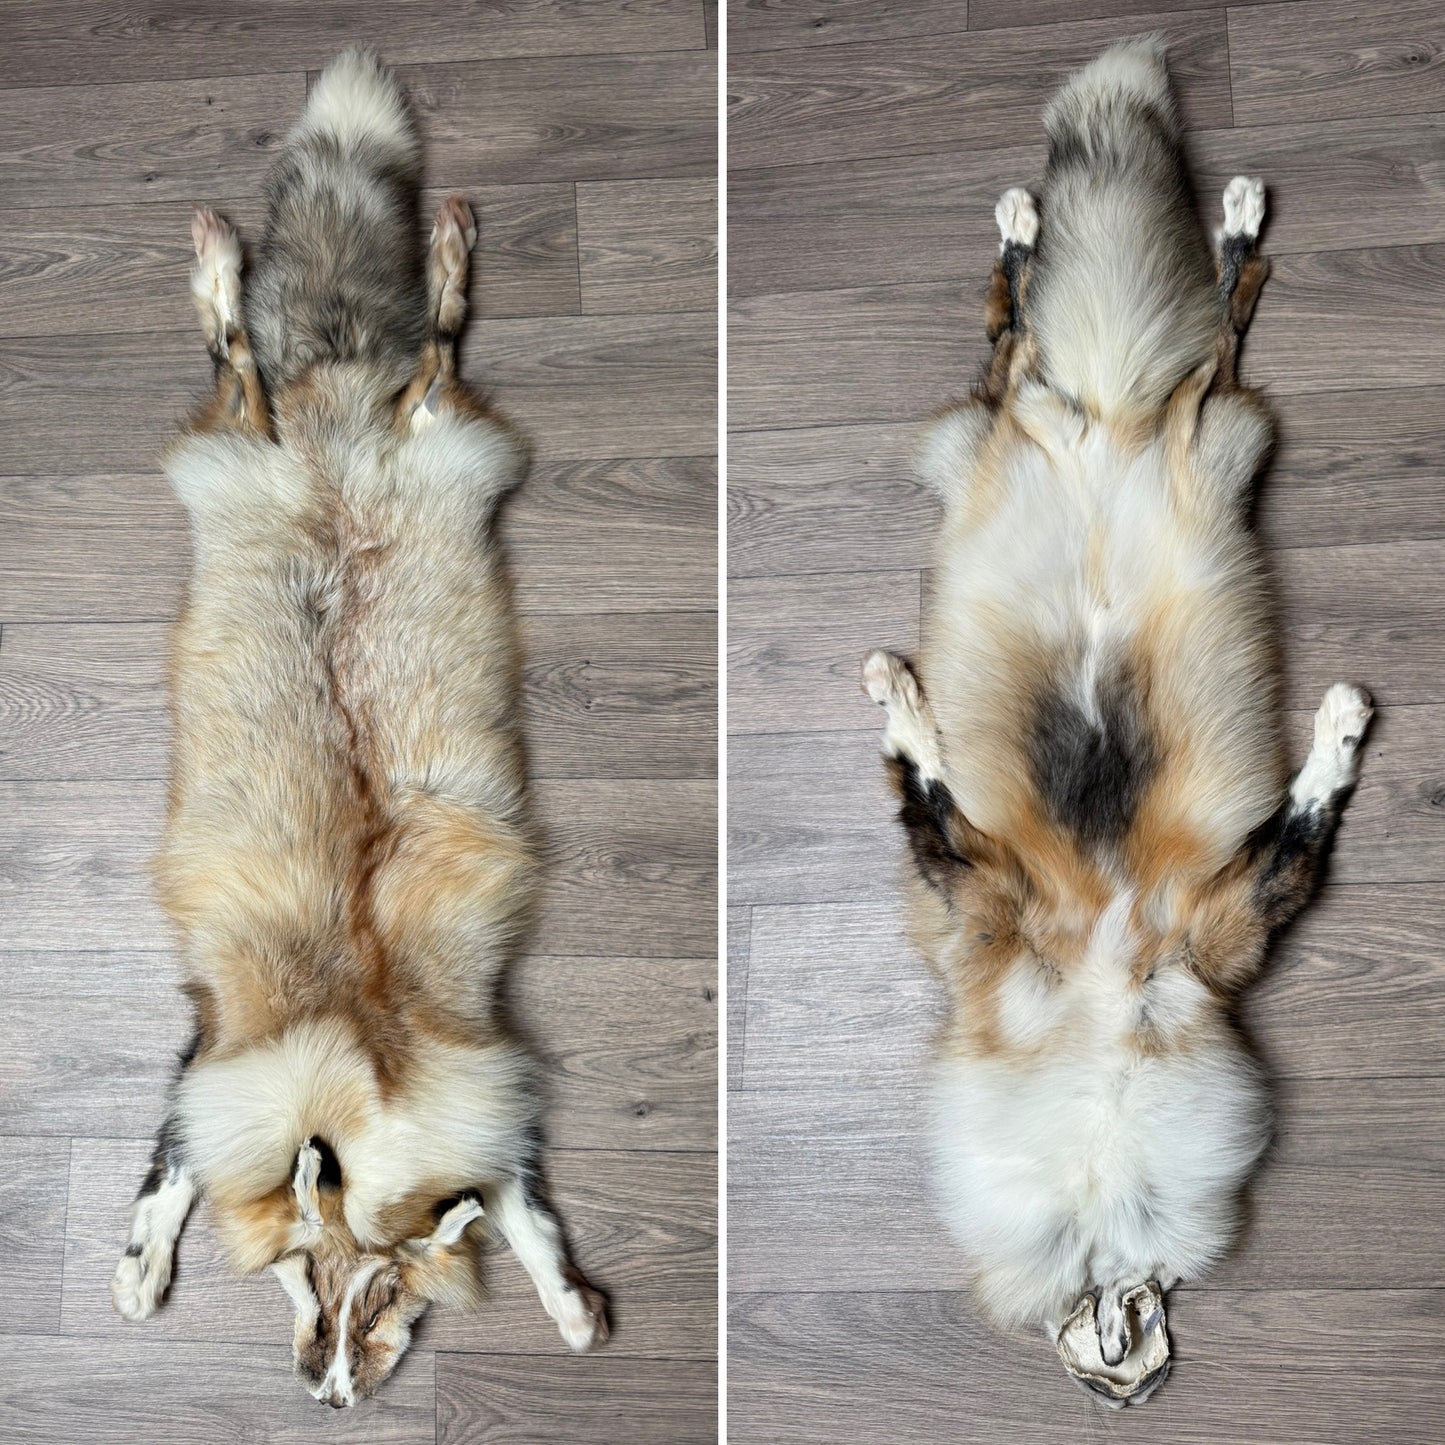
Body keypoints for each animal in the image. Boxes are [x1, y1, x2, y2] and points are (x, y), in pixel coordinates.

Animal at [109, 50, 607, 1406]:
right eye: (301, 1280)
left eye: (382, 1299)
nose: (329, 1395)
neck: (364, 1054)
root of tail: (333, 423)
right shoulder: (219, 1055)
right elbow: (170, 1167)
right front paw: (139, 1269)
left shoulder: (485, 1088)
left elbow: (526, 1218)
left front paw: (573, 1305)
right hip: (259, 441)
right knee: (245, 360)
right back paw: (225, 253)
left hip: (422, 436)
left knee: (416, 344)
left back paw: (440, 244)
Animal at [862, 38, 1371, 1405]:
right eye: (1123, 1368)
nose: (1134, 1345)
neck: (1100, 998)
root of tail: (1106, 419)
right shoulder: (996, 904)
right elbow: (922, 784)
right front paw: (895, 692)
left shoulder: (1201, 936)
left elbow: (1305, 811)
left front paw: (1340, 721)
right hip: (1134, 424)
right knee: (1020, 338)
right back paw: (1030, 221)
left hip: (1213, 431)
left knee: (1210, 321)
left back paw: (1198, 211)